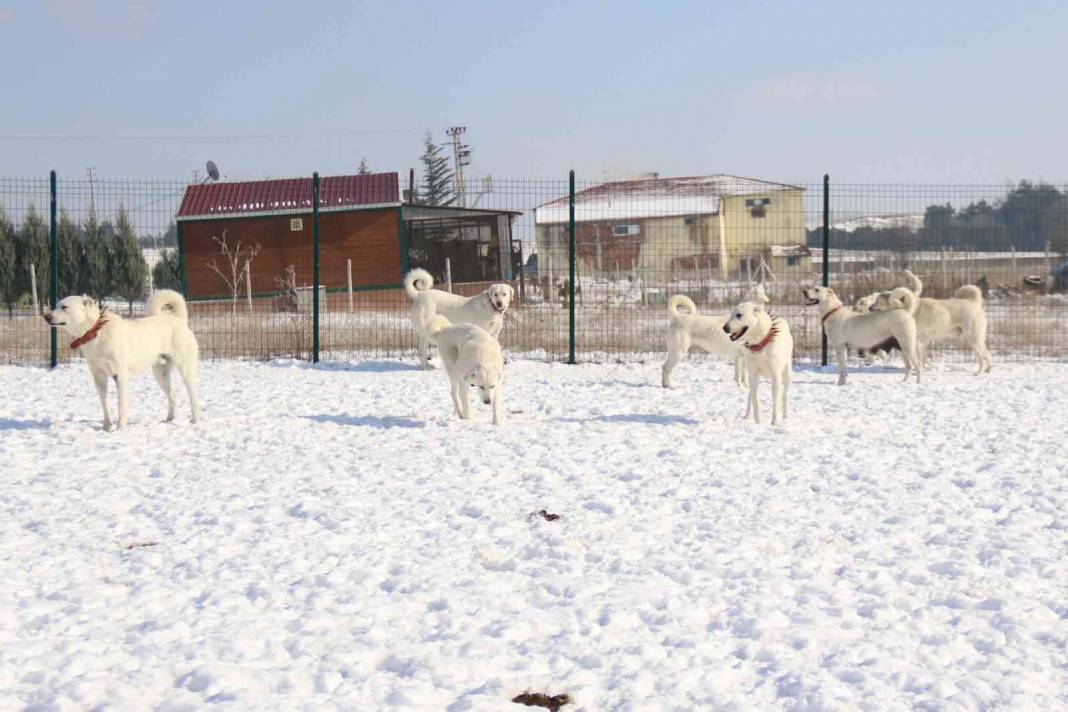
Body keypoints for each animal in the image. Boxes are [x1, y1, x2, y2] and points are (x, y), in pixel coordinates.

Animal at [43, 290, 200, 429]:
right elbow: (104, 403)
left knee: (193, 397)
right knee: (173, 397)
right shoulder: (99, 377)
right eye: (56, 305)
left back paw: (195, 420)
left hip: (186, 369)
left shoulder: (120, 377)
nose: (46, 316)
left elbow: (121, 406)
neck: (95, 331)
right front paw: (106, 427)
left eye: (64, 307)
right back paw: (169, 420)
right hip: (160, 374)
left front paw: (120, 428)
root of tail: (178, 320)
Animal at [717, 298, 794, 426]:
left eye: (739, 315)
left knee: (784, 395)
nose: (724, 328)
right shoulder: (753, 375)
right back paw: (747, 416)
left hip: (786, 374)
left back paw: (785, 416)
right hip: (753, 378)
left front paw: (774, 422)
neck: (760, 343)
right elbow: (755, 402)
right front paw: (758, 423)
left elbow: (775, 401)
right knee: (750, 397)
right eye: (731, 315)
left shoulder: (776, 377)